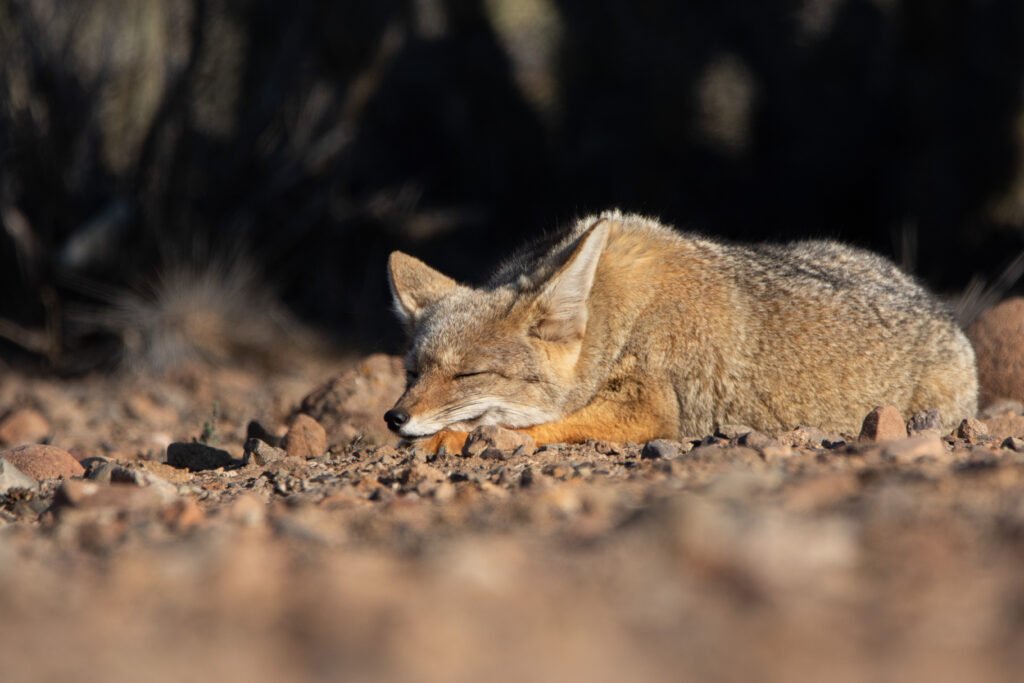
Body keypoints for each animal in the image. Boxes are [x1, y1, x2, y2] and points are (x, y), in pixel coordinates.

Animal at [384, 210, 979, 453]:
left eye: (467, 375)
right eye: (413, 373)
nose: (395, 417)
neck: (615, 315)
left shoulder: (650, 411)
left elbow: (535, 423)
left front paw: (452, 435)